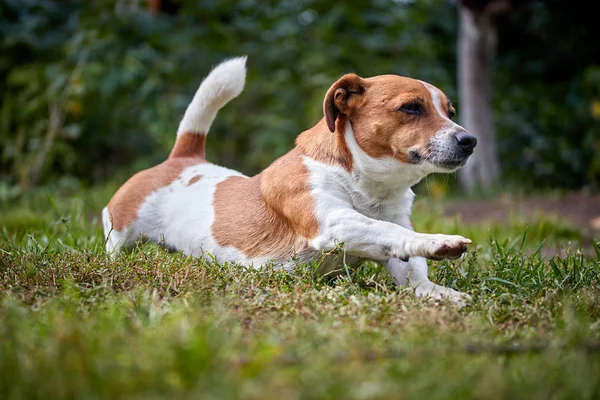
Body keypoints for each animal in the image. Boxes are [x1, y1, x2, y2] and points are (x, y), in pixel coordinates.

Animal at [103, 56, 478, 304]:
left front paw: (437, 293)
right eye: (411, 107)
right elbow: (390, 231)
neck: (368, 187)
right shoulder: (332, 222)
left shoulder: (392, 239)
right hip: (120, 231)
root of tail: (184, 158)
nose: (469, 140)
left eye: (450, 112)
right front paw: (438, 241)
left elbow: (410, 268)